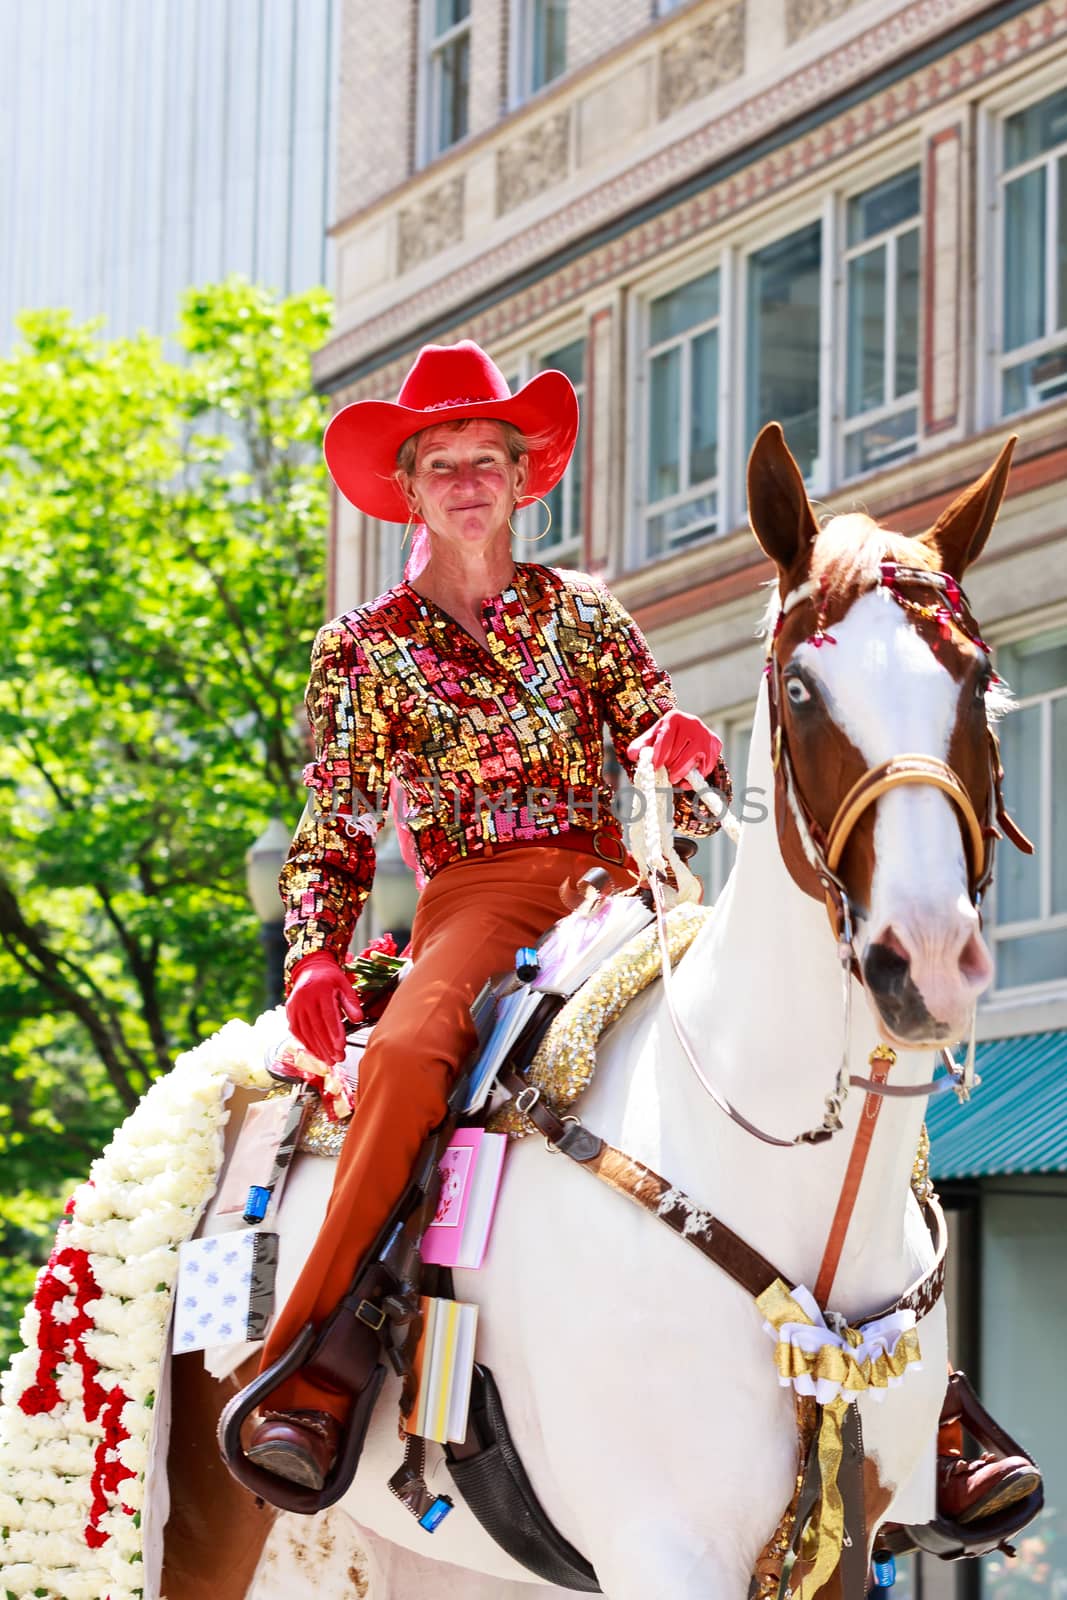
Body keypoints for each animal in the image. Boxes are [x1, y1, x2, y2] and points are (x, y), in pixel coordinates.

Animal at [160, 425, 1017, 1600]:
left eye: (977, 681)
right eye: (799, 690)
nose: (923, 955)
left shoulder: (846, 1547)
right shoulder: (661, 1549)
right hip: (204, 1516)